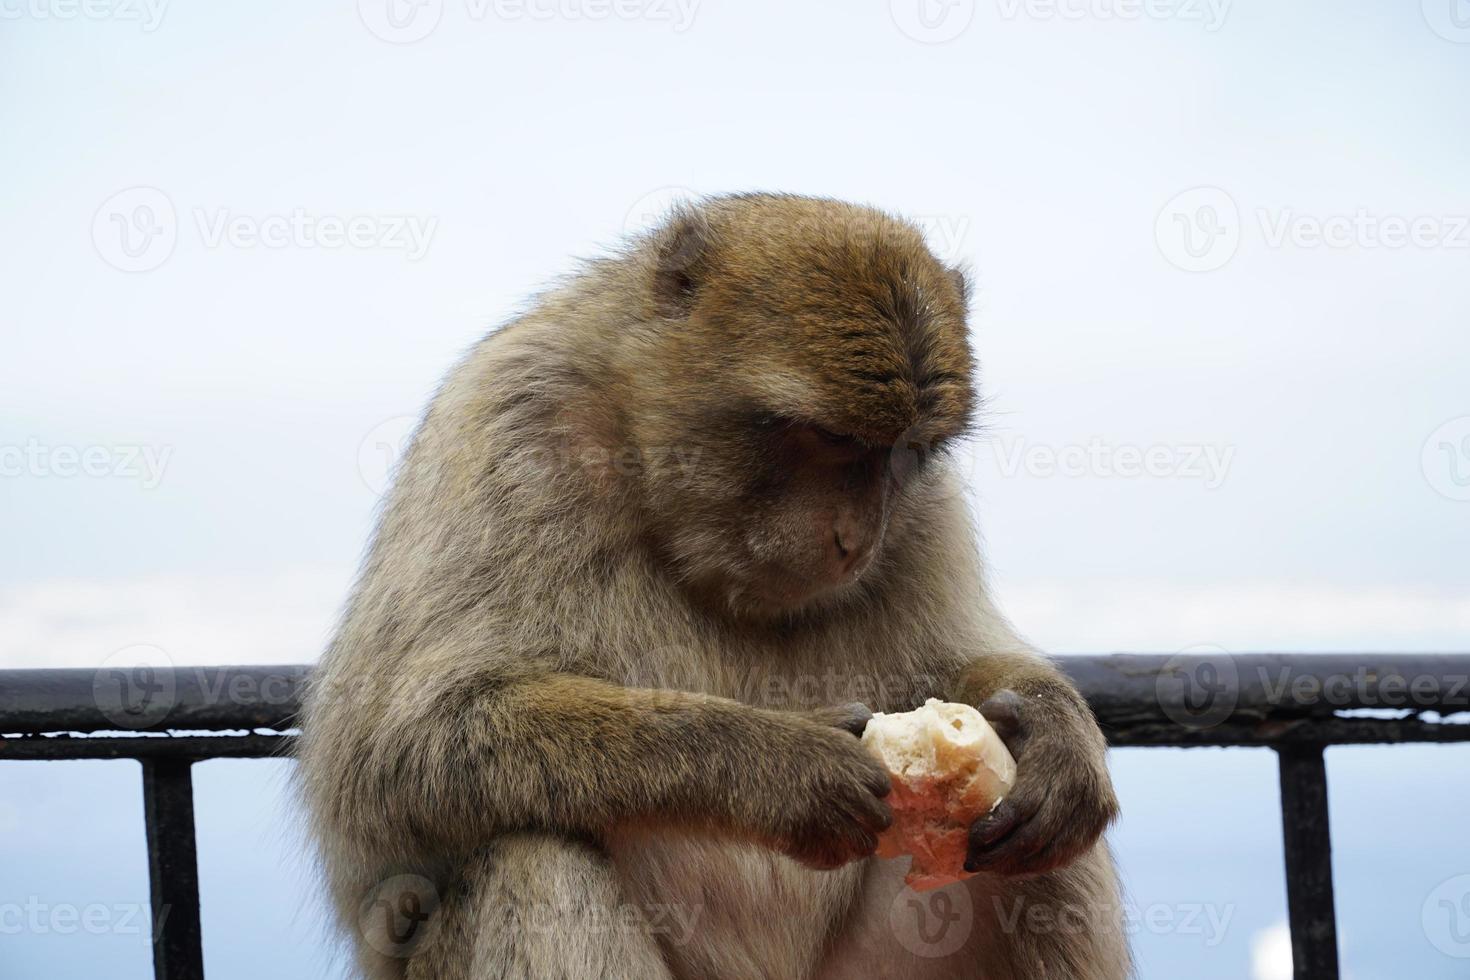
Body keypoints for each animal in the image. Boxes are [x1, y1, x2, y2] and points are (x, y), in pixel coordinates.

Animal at [295, 193, 1123, 980]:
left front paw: (1057, 733)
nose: (856, 541)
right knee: (533, 856)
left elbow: (957, 668)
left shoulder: (924, 512)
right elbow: (395, 752)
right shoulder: (511, 423)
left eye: (906, 453)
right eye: (832, 439)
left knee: (1054, 864)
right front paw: (781, 765)